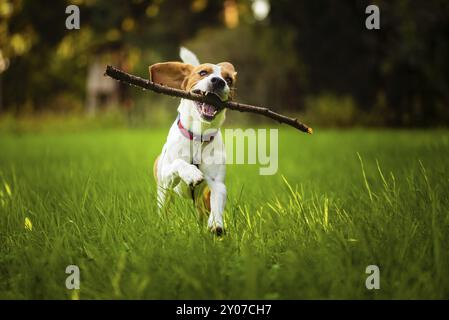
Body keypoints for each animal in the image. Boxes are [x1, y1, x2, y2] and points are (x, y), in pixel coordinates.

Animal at [151, 47, 238, 235]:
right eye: (202, 72)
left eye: (229, 79)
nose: (218, 82)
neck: (199, 135)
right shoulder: (167, 176)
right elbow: (179, 163)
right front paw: (191, 173)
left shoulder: (216, 184)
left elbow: (218, 200)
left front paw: (216, 224)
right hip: (164, 195)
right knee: (164, 209)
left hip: (201, 201)